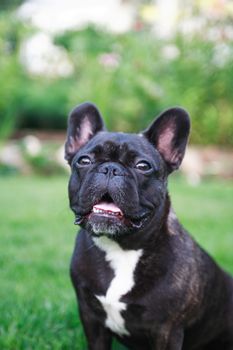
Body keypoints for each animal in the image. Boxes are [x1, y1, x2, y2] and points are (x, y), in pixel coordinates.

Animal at [64, 103, 233, 350]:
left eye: (142, 166)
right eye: (84, 161)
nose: (110, 168)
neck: (121, 248)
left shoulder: (167, 329)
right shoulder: (91, 318)